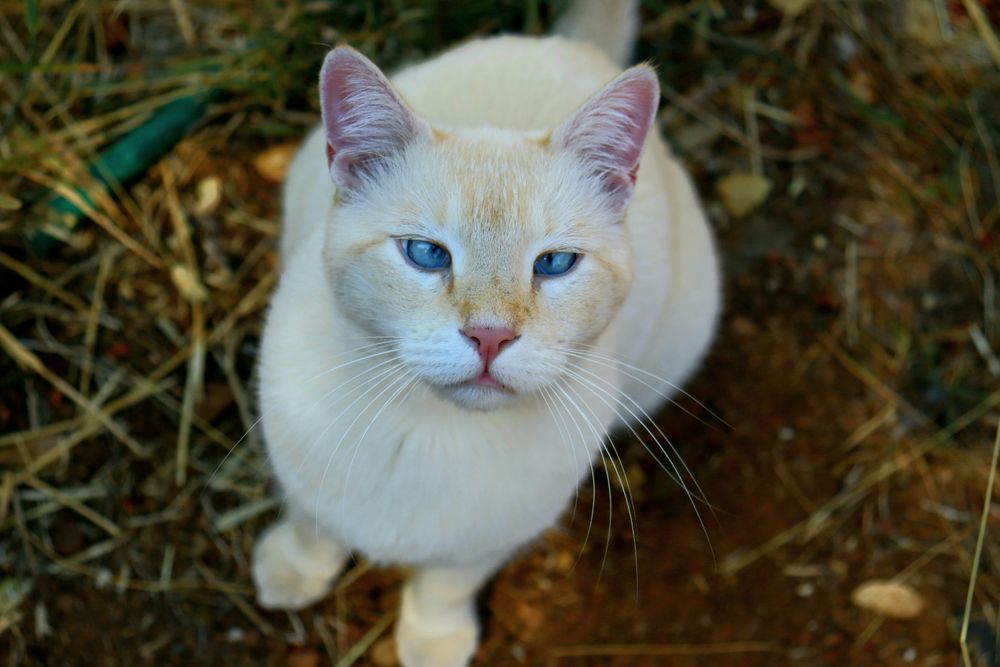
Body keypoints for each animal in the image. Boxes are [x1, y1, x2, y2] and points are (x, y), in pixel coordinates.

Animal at [249, 1, 720, 664]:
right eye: (425, 254)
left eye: (555, 263)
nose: (491, 337)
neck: (430, 433)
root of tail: (580, 51)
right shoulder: (298, 469)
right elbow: (311, 527)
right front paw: (290, 575)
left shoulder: (491, 539)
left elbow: (442, 587)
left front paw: (433, 643)